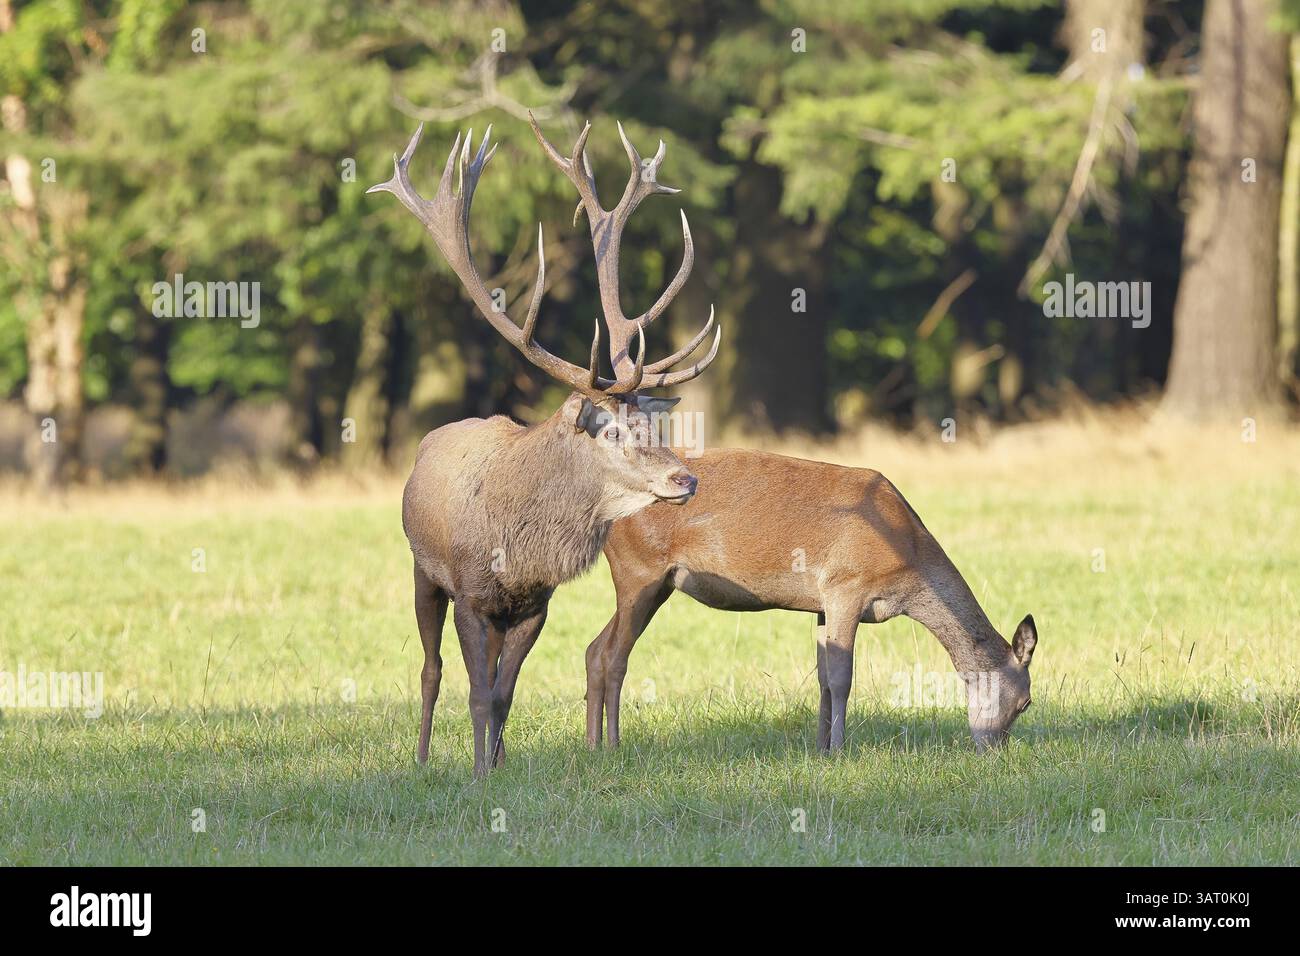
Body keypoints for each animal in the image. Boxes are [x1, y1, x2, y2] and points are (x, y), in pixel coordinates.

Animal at [368, 113, 721, 775]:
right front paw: (478, 773)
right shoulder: (471, 594)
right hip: (421, 570)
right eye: (613, 429)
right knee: (430, 670)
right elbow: (477, 692)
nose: (685, 479)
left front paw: (497, 765)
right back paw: (423, 757)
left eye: (655, 425)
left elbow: (504, 692)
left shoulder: (535, 604)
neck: (519, 546)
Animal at [586, 449, 1039, 754]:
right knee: (614, 654)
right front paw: (839, 750)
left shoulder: (821, 604)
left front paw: (820, 747)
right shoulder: (845, 585)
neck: (907, 561)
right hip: (639, 570)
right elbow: (841, 677)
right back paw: (613, 744)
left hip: (654, 584)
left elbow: (822, 677)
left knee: (593, 648)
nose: (994, 750)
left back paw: (591, 743)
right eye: (1026, 702)